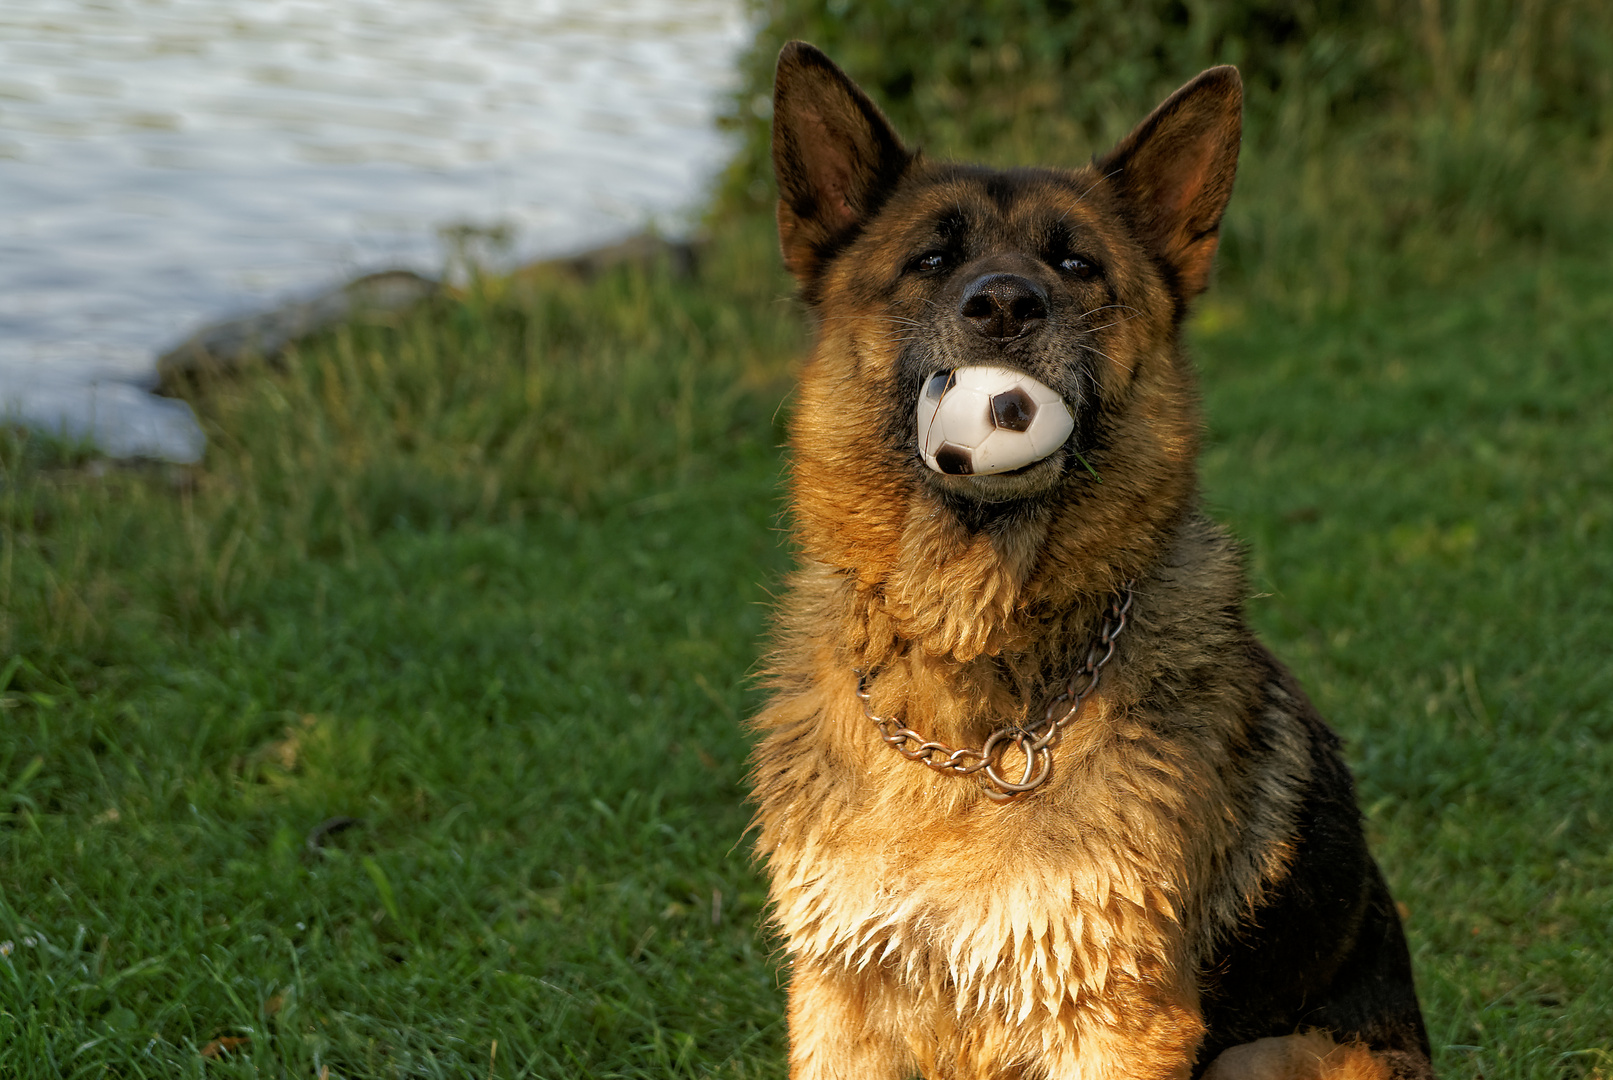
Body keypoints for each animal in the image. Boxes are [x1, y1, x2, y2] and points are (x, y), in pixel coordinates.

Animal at [748, 42, 1432, 1080]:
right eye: (931, 259)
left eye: (1074, 263)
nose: (1002, 304)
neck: (971, 681)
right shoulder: (839, 1002)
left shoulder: (1118, 1018)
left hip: (1271, 1052)